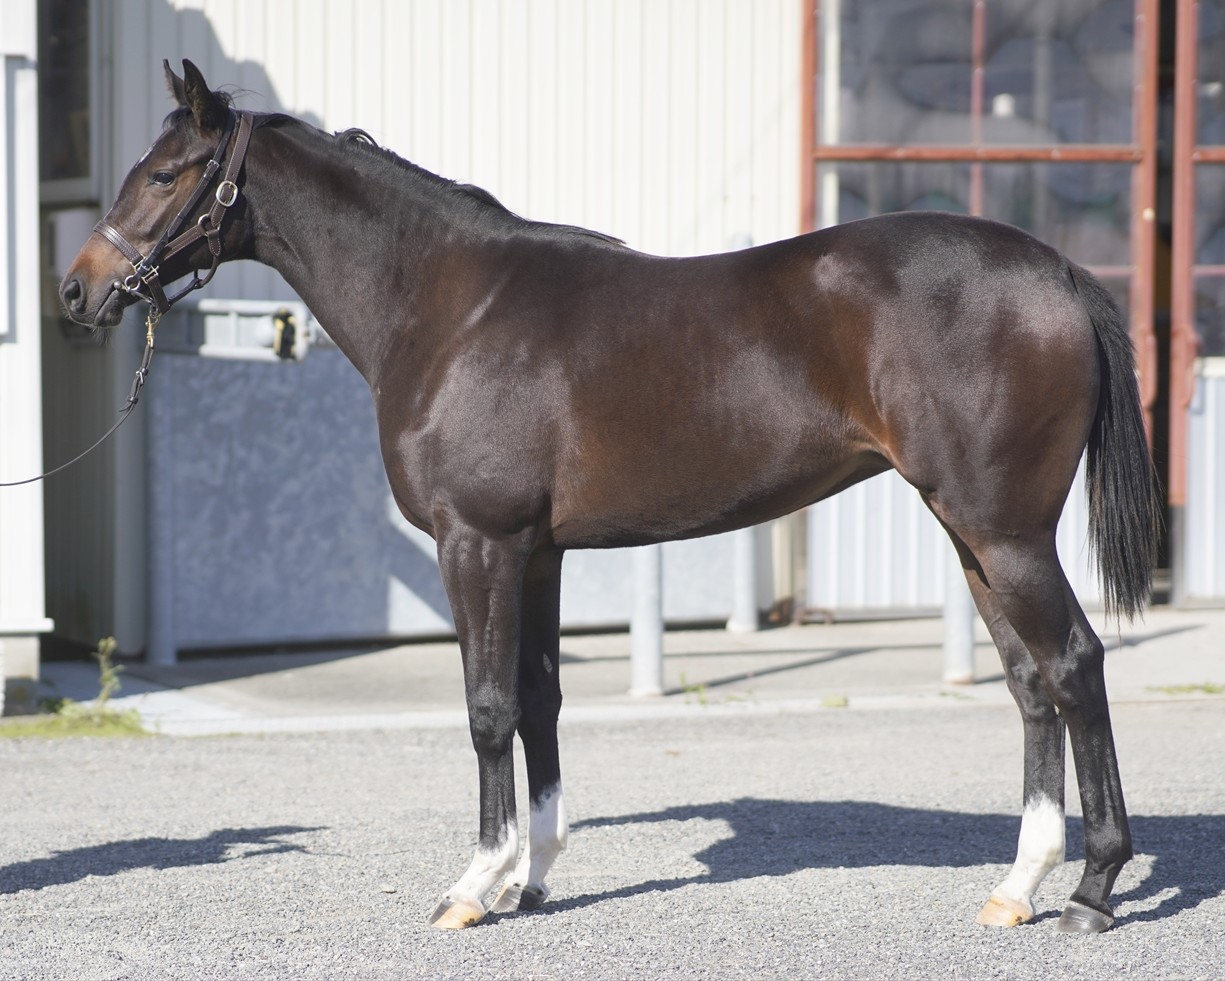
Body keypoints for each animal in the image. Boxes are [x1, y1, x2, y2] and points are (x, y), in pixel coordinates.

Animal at [60, 60, 1159, 934]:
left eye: (165, 174)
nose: (76, 292)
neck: (454, 308)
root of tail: (1058, 272)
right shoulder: (536, 551)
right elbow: (542, 701)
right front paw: (532, 879)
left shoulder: (477, 542)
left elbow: (489, 707)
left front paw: (474, 886)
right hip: (973, 535)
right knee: (1028, 684)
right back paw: (1016, 886)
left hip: (1004, 532)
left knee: (1073, 664)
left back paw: (1092, 889)